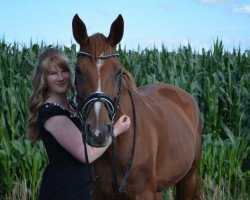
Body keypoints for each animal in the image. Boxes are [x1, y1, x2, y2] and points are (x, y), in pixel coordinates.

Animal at [71, 13, 202, 199]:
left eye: (118, 71)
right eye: (78, 70)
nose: (98, 132)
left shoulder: (144, 193)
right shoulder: (98, 194)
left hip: (188, 178)